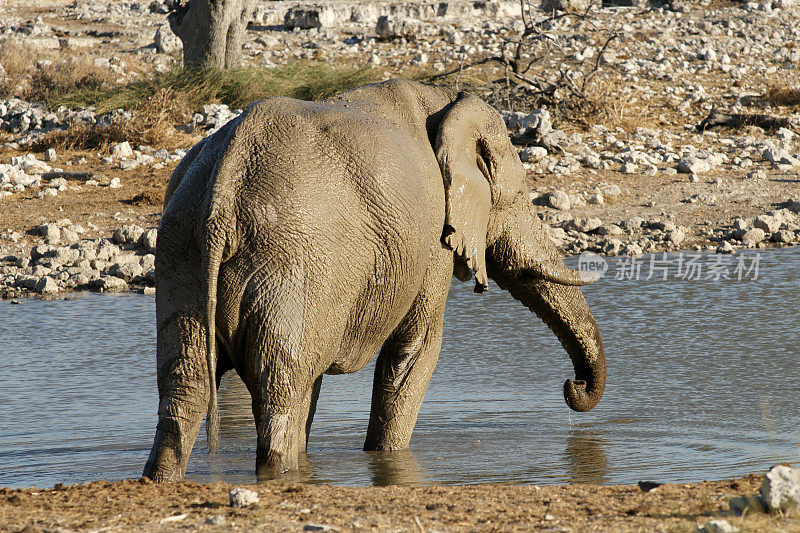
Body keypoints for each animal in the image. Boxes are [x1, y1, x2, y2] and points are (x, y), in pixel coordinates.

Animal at [144, 79, 608, 482]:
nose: (573, 387)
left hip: (183, 254)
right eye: (518, 197)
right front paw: (386, 458)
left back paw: (165, 477)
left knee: (188, 386)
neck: (444, 101)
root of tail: (222, 194)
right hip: (291, 264)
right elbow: (416, 348)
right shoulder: (431, 237)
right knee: (280, 388)